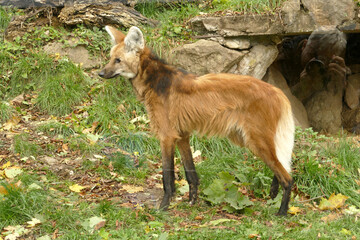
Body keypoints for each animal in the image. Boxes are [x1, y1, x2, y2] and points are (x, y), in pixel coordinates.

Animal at [99, 25, 296, 215]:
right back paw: (273, 195)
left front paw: (163, 208)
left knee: (287, 176)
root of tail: (277, 91)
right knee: (281, 164)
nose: (100, 73)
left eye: (118, 60)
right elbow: (190, 173)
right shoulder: (182, 135)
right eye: (110, 58)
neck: (154, 80)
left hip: (255, 140)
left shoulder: (167, 136)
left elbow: (167, 176)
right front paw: (192, 201)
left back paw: (282, 212)